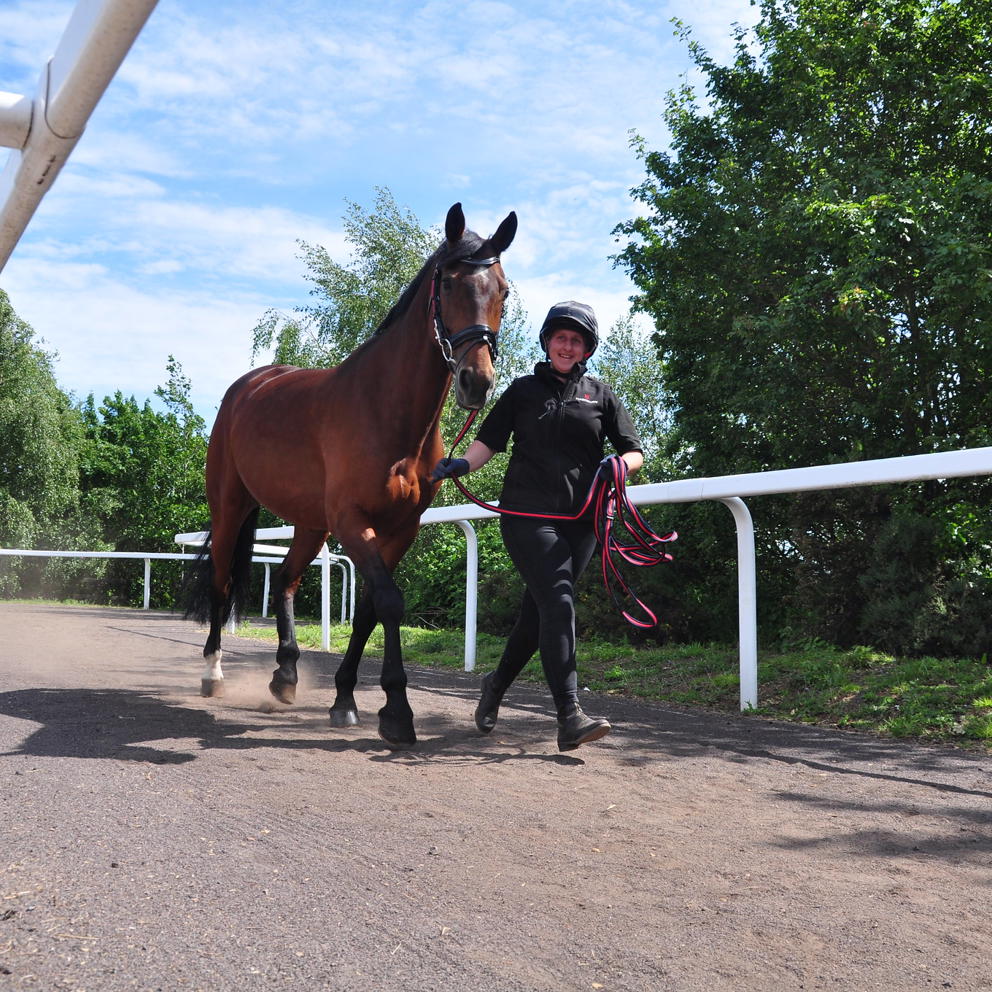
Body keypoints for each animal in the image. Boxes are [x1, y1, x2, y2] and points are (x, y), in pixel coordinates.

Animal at [186, 202, 516, 749]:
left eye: (503, 290)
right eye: (448, 283)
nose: (477, 381)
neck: (388, 414)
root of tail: (249, 386)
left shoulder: (399, 529)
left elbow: (368, 610)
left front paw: (344, 698)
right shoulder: (352, 521)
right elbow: (389, 602)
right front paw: (398, 710)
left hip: (309, 523)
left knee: (287, 582)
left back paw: (286, 675)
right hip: (231, 507)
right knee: (220, 581)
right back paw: (212, 674)